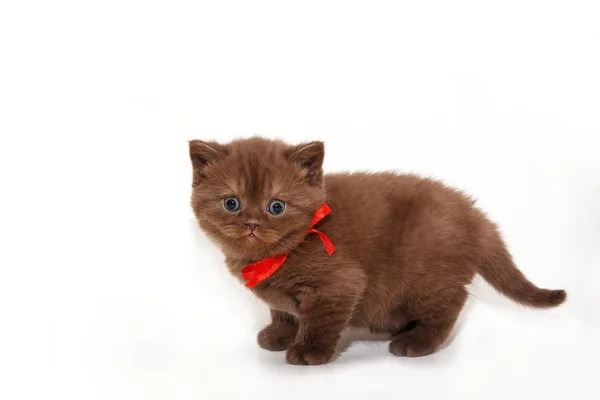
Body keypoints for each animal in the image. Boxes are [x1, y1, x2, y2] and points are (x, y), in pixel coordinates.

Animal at [189, 138, 568, 366]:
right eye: (232, 203)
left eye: (276, 206)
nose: (252, 223)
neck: (273, 257)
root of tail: (475, 216)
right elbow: (283, 311)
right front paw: (279, 335)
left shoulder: (340, 284)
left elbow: (320, 320)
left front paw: (310, 350)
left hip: (426, 280)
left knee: (452, 304)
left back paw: (417, 342)